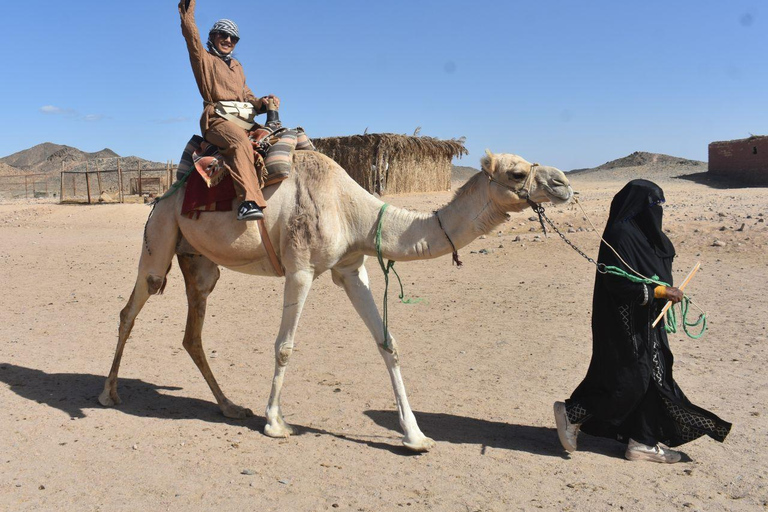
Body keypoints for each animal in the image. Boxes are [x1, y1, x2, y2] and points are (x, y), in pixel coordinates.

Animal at [99, 149, 573, 452]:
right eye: (516, 173)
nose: (564, 183)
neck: (354, 212)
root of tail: (166, 191)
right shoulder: (301, 268)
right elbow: (285, 347)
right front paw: (276, 423)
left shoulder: (351, 268)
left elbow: (388, 343)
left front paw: (415, 436)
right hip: (160, 237)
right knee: (128, 311)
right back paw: (108, 395)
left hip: (200, 263)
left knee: (192, 333)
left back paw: (230, 407)